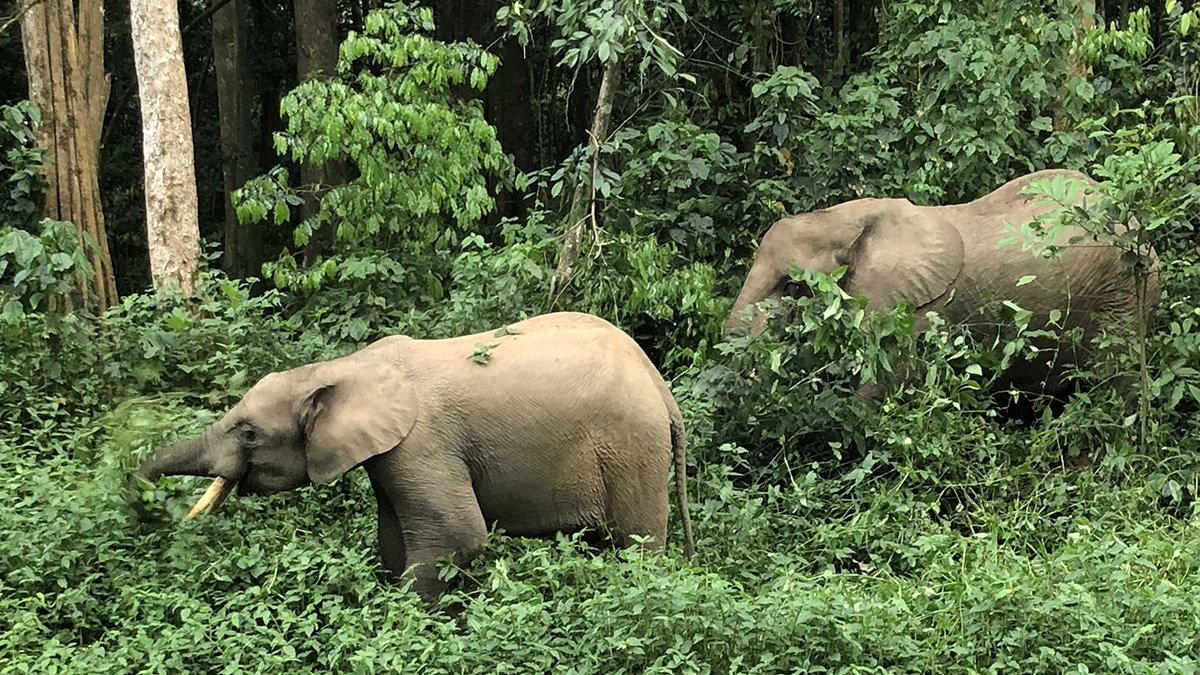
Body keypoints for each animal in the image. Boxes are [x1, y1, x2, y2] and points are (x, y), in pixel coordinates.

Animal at [135, 311, 696, 603]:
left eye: (249, 434)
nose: (137, 493)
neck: (346, 366)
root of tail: (661, 389)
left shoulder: (422, 442)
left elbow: (457, 533)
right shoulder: (389, 455)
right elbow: (393, 537)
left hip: (631, 449)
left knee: (636, 545)